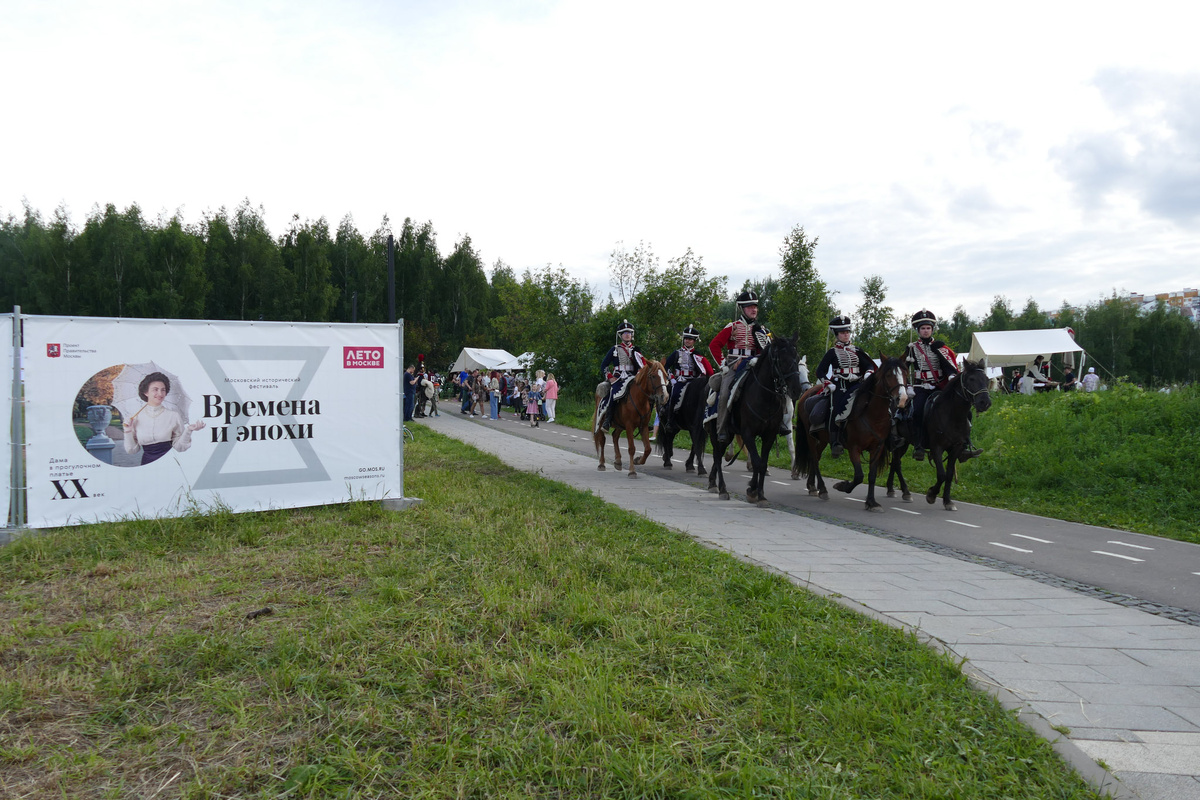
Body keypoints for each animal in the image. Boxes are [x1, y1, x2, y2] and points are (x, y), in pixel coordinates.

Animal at [700, 335, 806, 503]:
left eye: (796, 357)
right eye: (781, 359)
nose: (796, 390)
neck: (765, 396)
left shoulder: (769, 435)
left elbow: (762, 462)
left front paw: (759, 493)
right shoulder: (748, 433)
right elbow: (757, 462)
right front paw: (753, 490)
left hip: (729, 434)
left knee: (719, 455)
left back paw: (712, 483)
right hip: (716, 431)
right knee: (717, 455)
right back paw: (722, 489)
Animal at [792, 357, 902, 513]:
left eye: (904, 373)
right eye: (888, 375)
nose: (901, 398)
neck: (871, 414)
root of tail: (805, 395)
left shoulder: (877, 448)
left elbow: (872, 475)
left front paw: (871, 502)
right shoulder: (854, 448)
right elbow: (859, 476)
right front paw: (843, 486)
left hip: (823, 439)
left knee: (816, 457)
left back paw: (813, 486)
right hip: (810, 437)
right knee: (814, 457)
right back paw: (823, 489)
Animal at [888, 357, 988, 510]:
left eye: (987, 379)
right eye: (971, 379)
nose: (985, 402)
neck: (952, 415)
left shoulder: (956, 448)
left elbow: (949, 474)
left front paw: (947, 501)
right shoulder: (937, 448)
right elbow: (941, 475)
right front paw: (931, 494)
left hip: (903, 443)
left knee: (894, 463)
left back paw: (891, 489)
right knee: (897, 463)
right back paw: (905, 492)